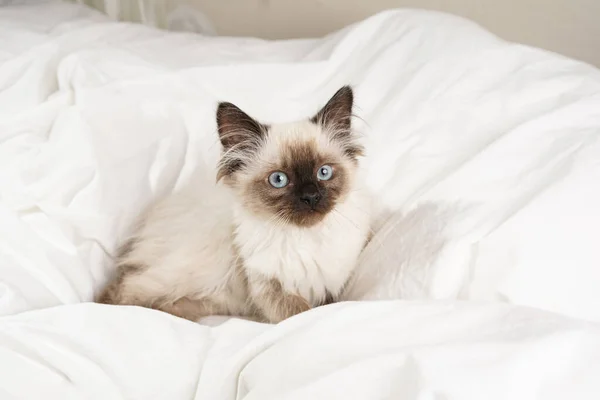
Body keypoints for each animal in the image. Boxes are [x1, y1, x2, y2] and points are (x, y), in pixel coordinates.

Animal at [97, 86, 370, 324]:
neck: (304, 238)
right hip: (203, 268)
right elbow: (301, 313)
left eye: (324, 173)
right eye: (279, 180)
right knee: (125, 291)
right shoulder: (267, 286)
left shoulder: (330, 286)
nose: (311, 197)